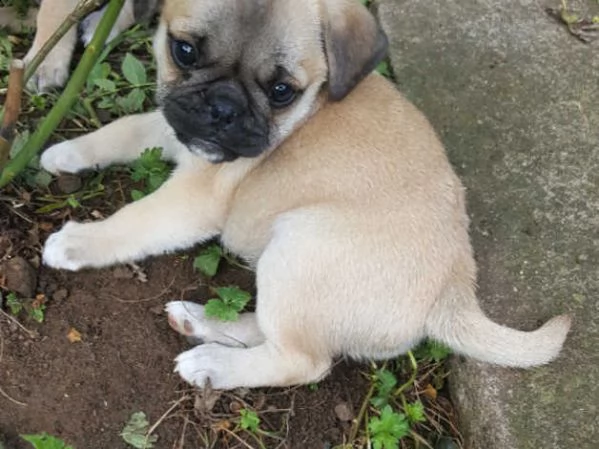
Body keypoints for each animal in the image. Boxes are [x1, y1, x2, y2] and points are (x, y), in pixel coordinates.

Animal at [38, 0, 572, 388]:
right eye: (183, 51)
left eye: (281, 91)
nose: (223, 109)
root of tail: (452, 293)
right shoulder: (174, 126)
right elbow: (123, 129)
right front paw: (65, 152)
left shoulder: (192, 197)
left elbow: (134, 220)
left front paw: (77, 242)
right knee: (277, 332)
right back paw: (200, 322)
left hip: (298, 246)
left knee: (302, 361)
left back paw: (212, 365)